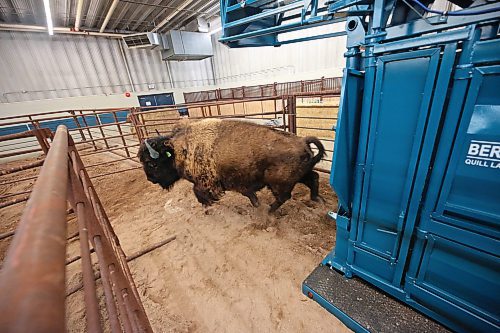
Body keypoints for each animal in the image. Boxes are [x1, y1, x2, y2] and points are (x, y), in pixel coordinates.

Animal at [137, 118, 326, 213]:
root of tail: (302, 141)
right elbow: (247, 192)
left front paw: (207, 204)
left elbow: (198, 192)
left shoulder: (206, 182)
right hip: (301, 175)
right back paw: (317, 200)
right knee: (313, 178)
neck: (180, 150)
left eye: (151, 163)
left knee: (284, 197)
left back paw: (268, 211)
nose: (150, 179)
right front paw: (255, 201)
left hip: (278, 183)